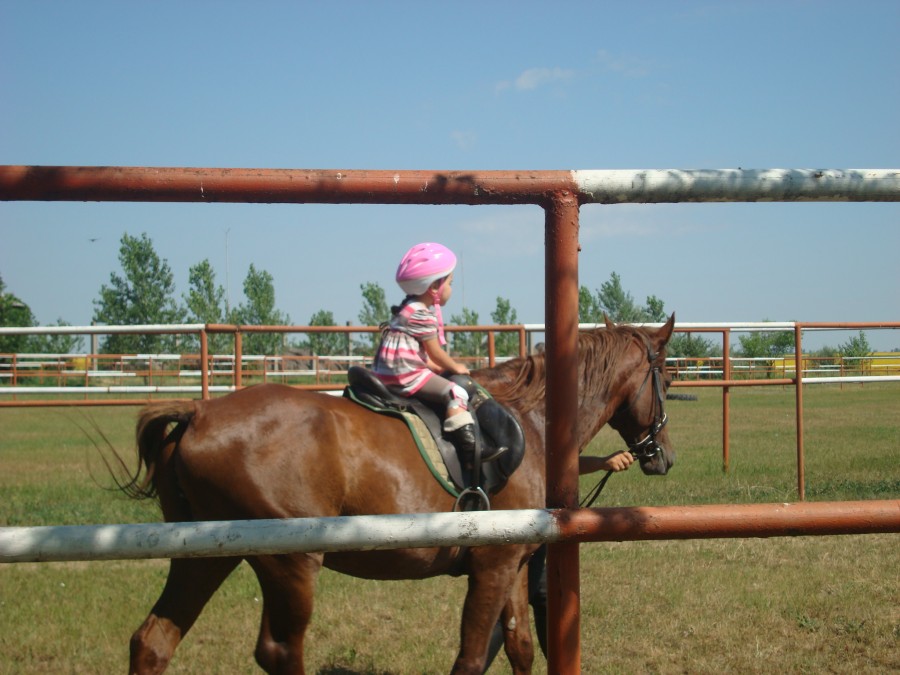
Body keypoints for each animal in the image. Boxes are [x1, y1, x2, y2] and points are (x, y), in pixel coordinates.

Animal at [123, 318, 676, 675]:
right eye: (667, 379)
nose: (663, 456)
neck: (532, 419)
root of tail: (198, 412)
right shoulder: (493, 564)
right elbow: (472, 656)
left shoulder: (514, 562)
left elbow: (519, 646)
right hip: (291, 564)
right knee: (278, 652)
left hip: (206, 558)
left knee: (152, 642)